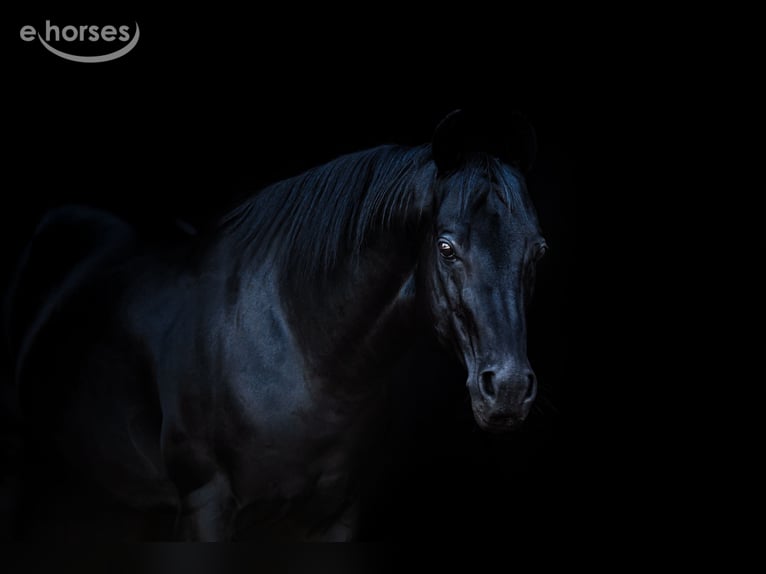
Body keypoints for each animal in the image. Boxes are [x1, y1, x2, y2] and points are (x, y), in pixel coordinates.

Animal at [4, 110, 548, 540]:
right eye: (446, 247)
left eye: (538, 249)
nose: (508, 391)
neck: (297, 356)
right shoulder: (205, 510)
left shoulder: (338, 517)